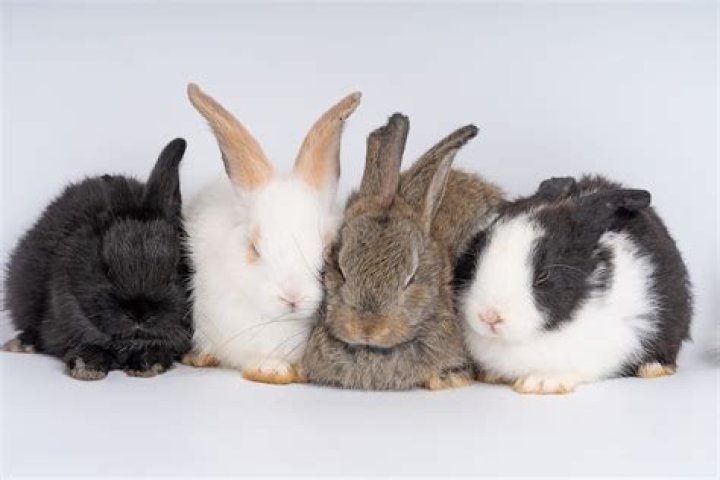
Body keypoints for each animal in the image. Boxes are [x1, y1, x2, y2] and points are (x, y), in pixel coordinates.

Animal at [3, 138, 192, 380]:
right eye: (106, 270)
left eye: (174, 271)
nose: (139, 314)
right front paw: (87, 368)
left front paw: (149, 365)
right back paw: (21, 344)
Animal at [455, 175, 693, 394]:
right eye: (474, 260)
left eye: (543, 275)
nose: (489, 317)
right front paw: (493, 375)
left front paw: (542, 383)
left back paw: (653, 368)